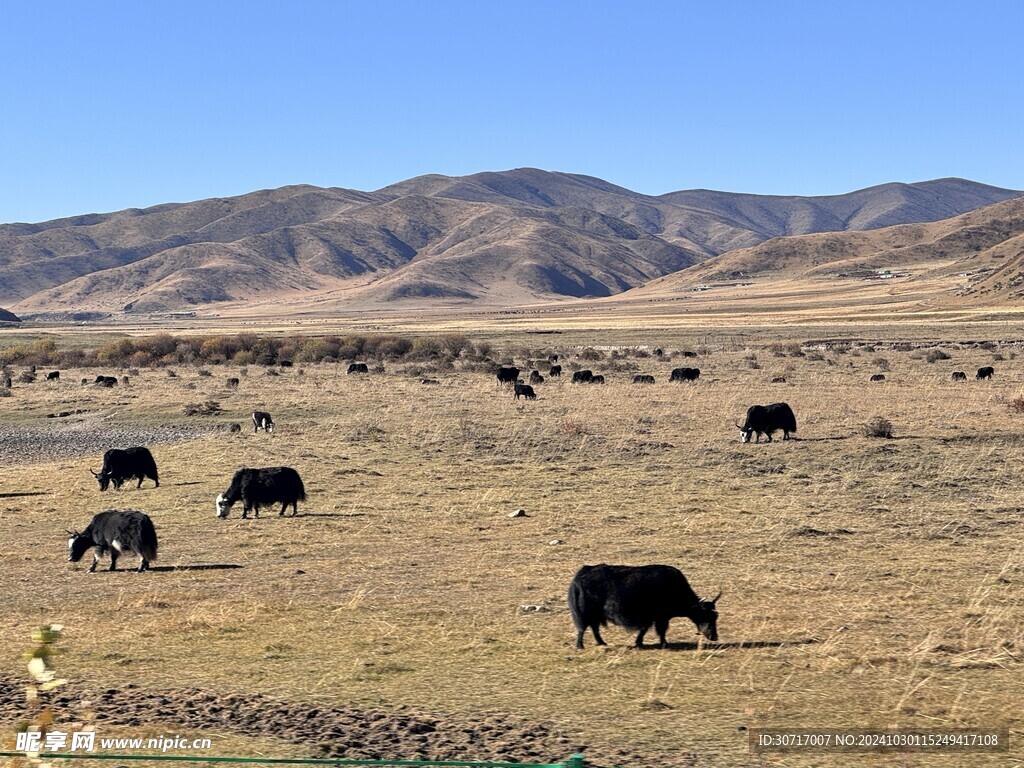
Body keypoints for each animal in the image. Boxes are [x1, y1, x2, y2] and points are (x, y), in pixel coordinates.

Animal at [569, 565, 720, 651]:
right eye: (706, 615)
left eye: (715, 616)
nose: (714, 637)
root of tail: (580, 575)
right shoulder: (660, 617)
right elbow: (660, 630)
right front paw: (664, 644)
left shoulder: (652, 618)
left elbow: (644, 629)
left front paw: (639, 643)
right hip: (586, 612)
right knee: (583, 628)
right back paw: (580, 646)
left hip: (596, 614)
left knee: (594, 628)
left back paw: (601, 643)